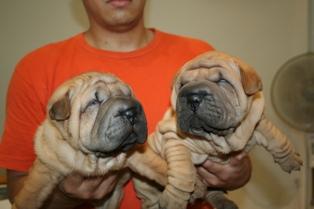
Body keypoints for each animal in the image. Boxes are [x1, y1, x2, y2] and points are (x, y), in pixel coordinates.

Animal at [12, 72, 169, 209]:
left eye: (129, 95)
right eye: (94, 102)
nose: (131, 112)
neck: (97, 159)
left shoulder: (137, 154)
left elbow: (158, 166)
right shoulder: (46, 167)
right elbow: (30, 194)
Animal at [134, 51, 302, 209]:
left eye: (222, 81)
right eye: (182, 85)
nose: (192, 97)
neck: (220, 136)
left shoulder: (257, 117)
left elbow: (276, 136)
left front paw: (290, 159)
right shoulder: (174, 139)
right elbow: (183, 172)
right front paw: (175, 199)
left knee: (213, 191)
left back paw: (225, 203)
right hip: (146, 185)